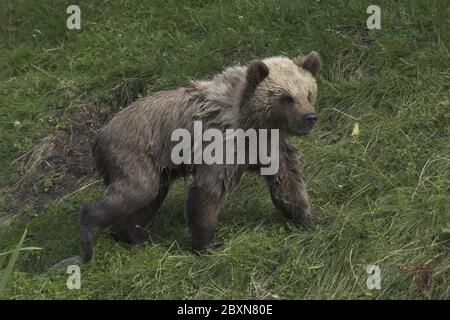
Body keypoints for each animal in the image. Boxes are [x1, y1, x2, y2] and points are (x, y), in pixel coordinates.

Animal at [80, 52, 320, 262]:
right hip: (134, 153)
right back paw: (90, 236)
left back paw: (137, 236)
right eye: (287, 97)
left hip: (158, 168)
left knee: (150, 198)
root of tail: (100, 135)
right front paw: (207, 245)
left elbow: (287, 183)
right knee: (137, 191)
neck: (254, 124)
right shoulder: (222, 145)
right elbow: (207, 191)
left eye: (308, 93)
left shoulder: (270, 146)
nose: (310, 117)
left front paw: (309, 219)